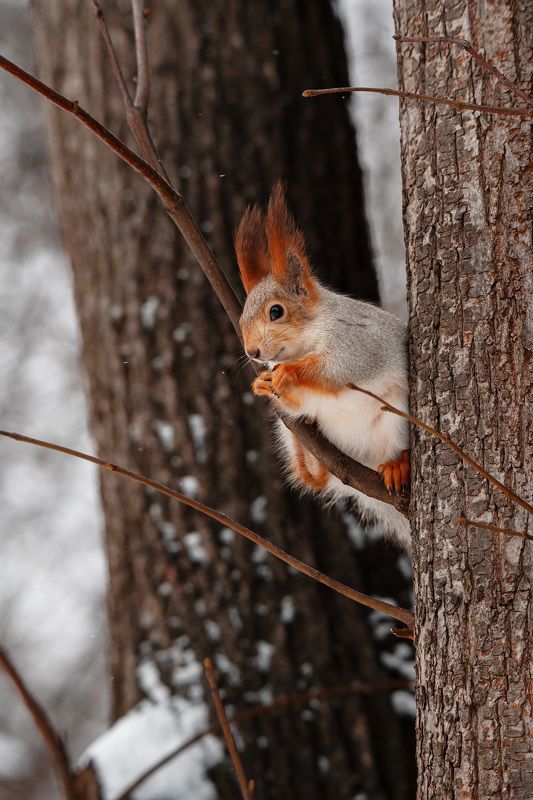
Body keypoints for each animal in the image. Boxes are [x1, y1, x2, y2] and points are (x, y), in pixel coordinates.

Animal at [235, 183, 410, 550]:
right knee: (314, 477)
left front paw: (289, 374)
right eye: (242, 316)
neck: (306, 339)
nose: (253, 352)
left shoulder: (357, 342)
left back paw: (397, 464)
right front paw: (262, 384)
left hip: (398, 420)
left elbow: (337, 370)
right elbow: (297, 403)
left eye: (276, 311)